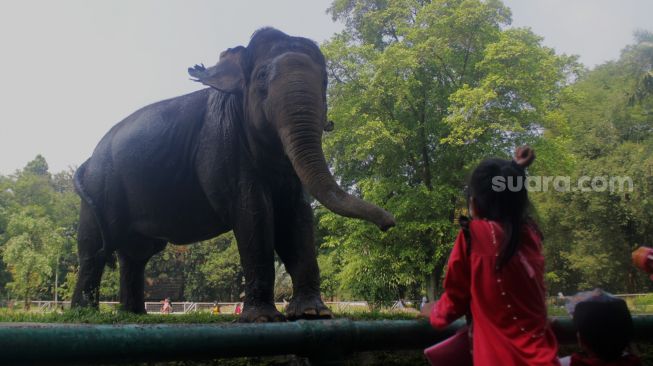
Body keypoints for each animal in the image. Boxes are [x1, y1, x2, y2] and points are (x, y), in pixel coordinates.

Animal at [73, 27, 394, 320]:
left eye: (325, 81)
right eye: (262, 78)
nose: (389, 224)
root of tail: (88, 160)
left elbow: (297, 217)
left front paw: (313, 313)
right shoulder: (223, 147)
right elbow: (253, 213)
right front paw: (263, 318)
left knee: (134, 254)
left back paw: (133, 314)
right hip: (101, 187)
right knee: (94, 251)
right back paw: (83, 313)